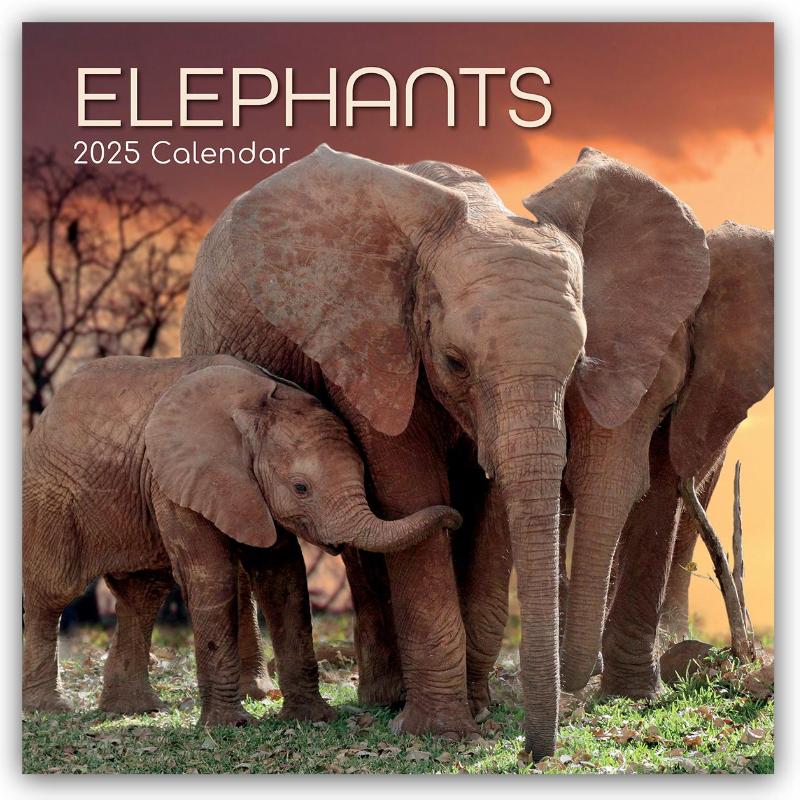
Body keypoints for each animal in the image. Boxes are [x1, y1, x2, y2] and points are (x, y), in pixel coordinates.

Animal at [22, 354, 460, 725]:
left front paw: (312, 719)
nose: (454, 518)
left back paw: (133, 710)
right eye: (301, 488)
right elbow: (211, 576)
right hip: (48, 496)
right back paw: (49, 710)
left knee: (142, 595)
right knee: (53, 592)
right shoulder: (179, 480)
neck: (257, 403)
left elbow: (283, 576)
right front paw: (229, 725)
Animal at [180, 143, 710, 758]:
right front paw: (439, 730)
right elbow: (409, 484)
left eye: (578, 363)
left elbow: (494, 505)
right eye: (454, 361)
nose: (535, 751)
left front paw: (474, 711)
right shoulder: (372, 344)